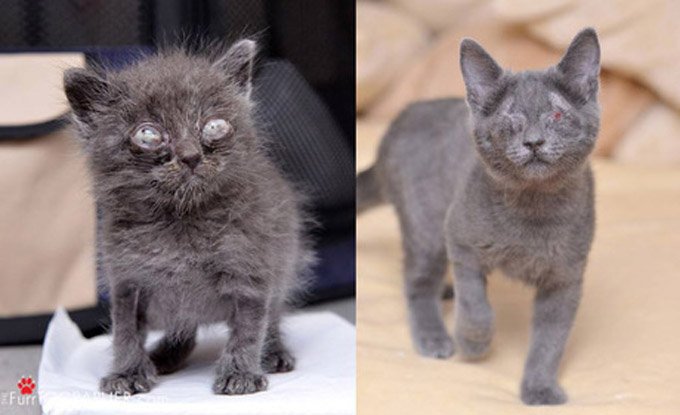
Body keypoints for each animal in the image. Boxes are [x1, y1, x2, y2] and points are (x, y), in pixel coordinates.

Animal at [63, 40, 314, 398]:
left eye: (214, 125)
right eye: (148, 135)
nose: (191, 156)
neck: (180, 221)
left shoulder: (251, 272)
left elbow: (250, 328)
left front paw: (240, 373)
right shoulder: (126, 279)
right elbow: (125, 332)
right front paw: (127, 372)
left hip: (284, 264)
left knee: (274, 315)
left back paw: (275, 352)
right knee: (184, 326)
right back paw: (167, 355)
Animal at [356, 27, 600, 404]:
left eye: (557, 116)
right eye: (509, 118)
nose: (533, 142)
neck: (533, 207)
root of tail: (399, 121)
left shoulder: (565, 278)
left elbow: (550, 341)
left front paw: (540, 388)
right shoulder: (461, 241)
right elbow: (477, 307)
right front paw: (472, 343)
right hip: (428, 227)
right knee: (416, 282)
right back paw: (434, 336)